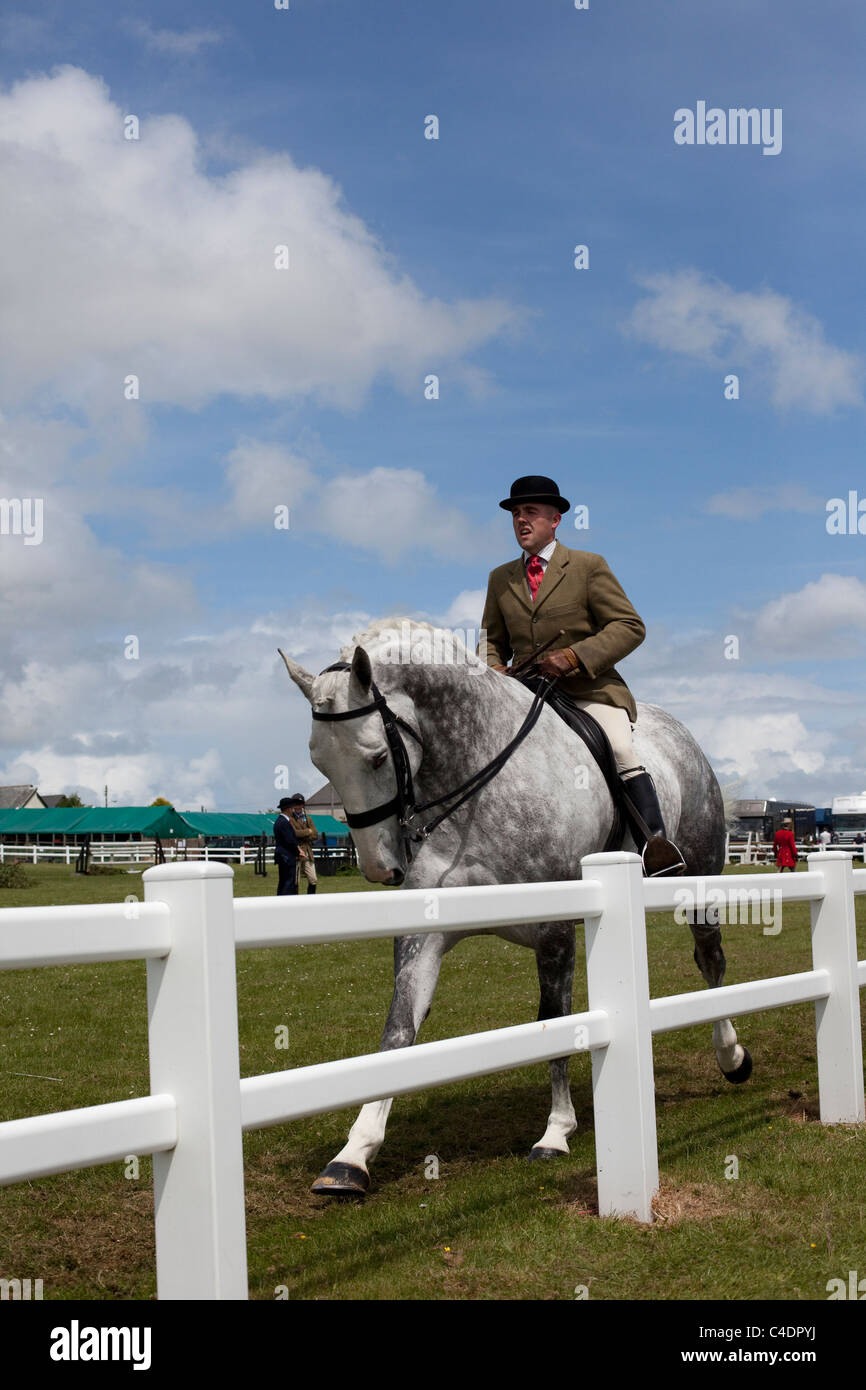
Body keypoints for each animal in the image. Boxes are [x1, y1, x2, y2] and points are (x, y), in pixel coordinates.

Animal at [279, 619, 750, 1195]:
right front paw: (354, 1153)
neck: (478, 784)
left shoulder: (554, 929)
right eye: (318, 760)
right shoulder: (424, 934)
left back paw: (731, 1056)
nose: (379, 868)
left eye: (376, 756)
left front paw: (555, 1133)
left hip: (698, 884)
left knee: (710, 963)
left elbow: (554, 1020)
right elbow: (399, 1028)